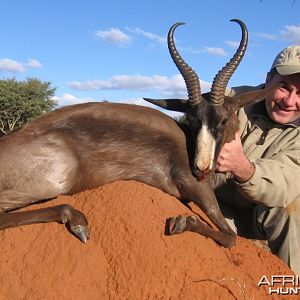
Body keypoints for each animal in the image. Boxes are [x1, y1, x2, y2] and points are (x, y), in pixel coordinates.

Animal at [0, 19, 270, 247]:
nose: (201, 168)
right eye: (193, 120)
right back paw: (77, 222)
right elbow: (230, 237)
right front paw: (181, 221)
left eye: (223, 119)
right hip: (58, 178)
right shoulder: (193, 186)